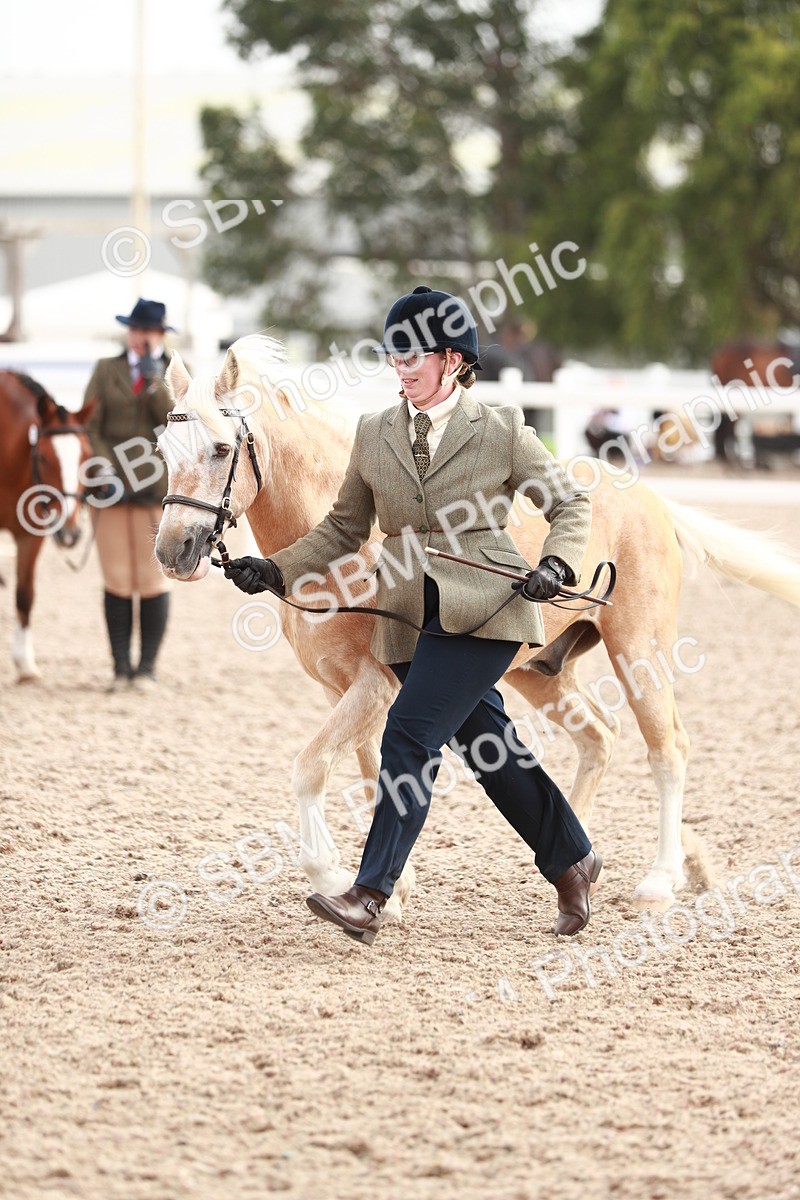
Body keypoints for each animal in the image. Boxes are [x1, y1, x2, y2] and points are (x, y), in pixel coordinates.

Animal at [0, 371, 95, 681]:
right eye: (42, 456)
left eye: (86, 457)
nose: (70, 532)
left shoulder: (31, 536)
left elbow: (25, 595)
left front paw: (25, 664)